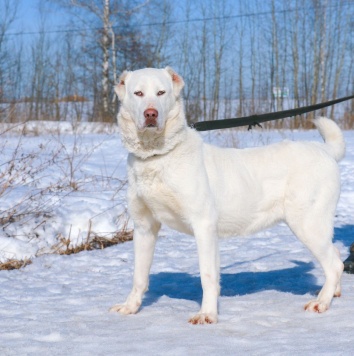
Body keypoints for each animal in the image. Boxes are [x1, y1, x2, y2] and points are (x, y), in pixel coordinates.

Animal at [110, 67, 342, 326]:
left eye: (161, 92)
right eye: (138, 93)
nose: (151, 113)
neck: (156, 156)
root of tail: (324, 150)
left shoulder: (204, 225)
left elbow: (208, 276)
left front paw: (207, 314)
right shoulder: (144, 227)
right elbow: (139, 276)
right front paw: (131, 307)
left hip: (307, 224)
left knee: (334, 264)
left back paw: (321, 302)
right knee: (337, 257)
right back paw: (333, 292)